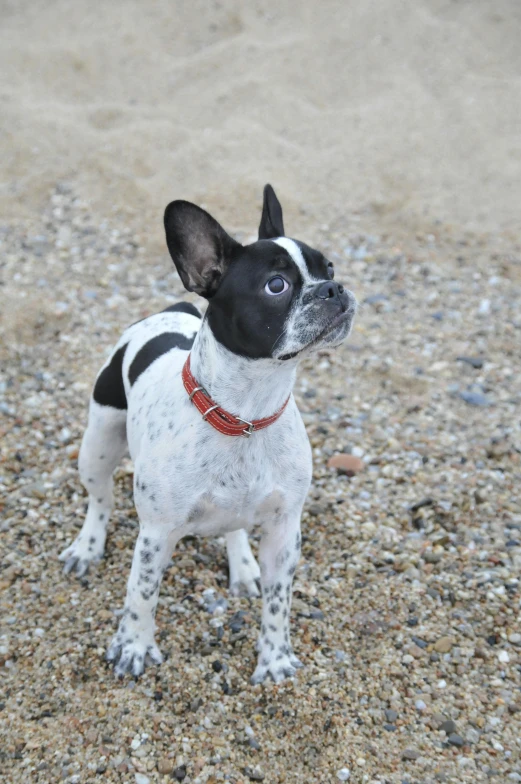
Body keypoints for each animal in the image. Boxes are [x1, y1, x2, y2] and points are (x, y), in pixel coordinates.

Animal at [59, 187, 356, 684]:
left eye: (329, 268)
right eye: (277, 285)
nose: (334, 288)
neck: (246, 415)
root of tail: (170, 310)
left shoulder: (284, 533)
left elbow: (279, 604)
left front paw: (275, 658)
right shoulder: (156, 534)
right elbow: (141, 594)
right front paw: (133, 647)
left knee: (233, 528)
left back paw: (243, 566)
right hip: (98, 444)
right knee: (100, 501)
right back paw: (87, 547)